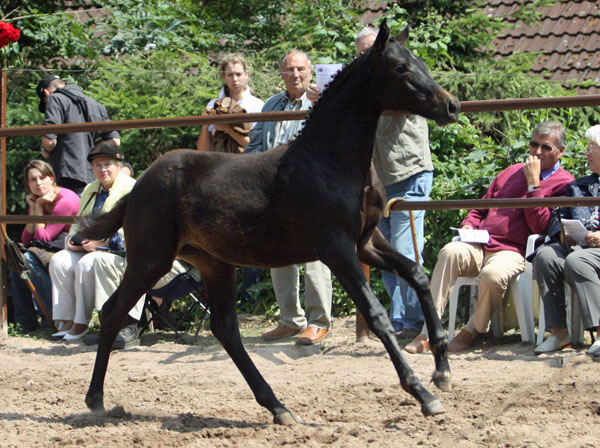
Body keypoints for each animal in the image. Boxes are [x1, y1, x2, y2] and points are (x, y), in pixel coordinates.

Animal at [78, 21, 460, 426]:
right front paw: (423, 394)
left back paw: (278, 406)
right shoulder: (337, 249)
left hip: (212, 263)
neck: (329, 162)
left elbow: (417, 275)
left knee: (225, 329)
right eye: (401, 68)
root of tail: (137, 188)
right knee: (113, 312)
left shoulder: (366, 243)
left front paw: (442, 370)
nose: (451, 105)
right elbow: (377, 315)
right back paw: (96, 399)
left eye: (420, 62)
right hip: (152, 259)